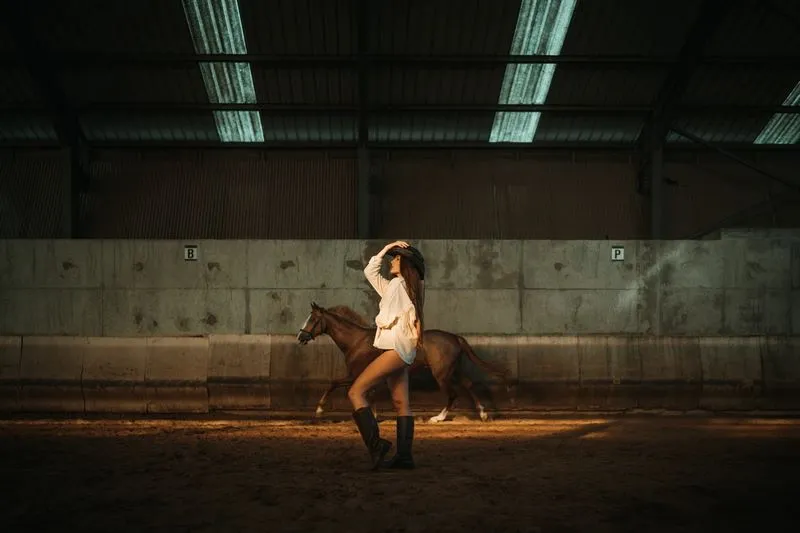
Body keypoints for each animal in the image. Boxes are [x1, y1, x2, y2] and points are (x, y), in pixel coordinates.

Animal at [296, 302, 512, 422]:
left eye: (312, 319)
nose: (300, 337)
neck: (356, 341)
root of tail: (454, 337)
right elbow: (370, 394)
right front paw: (374, 415)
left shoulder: (355, 374)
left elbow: (333, 383)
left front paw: (319, 410)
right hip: (453, 369)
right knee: (468, 384)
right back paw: (482, 414)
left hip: (441, 373)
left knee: (453, 394)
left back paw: (438, 418)